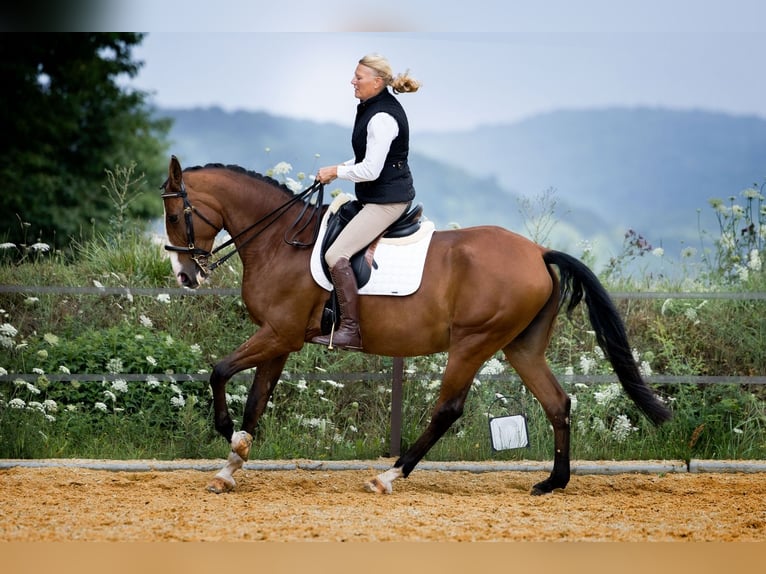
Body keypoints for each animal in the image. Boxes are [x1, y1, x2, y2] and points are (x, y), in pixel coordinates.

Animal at [160, 155, 672, 495]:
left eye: (174, 214)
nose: (185, 276)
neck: (280, 240)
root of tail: (539, 253)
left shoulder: (277, 333)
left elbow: (219, 371)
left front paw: (228, 435)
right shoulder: (281, 339)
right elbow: (257, 398)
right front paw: (232, 464)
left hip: (473, 342)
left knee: (449, 409)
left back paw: (390, 474)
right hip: (521, 347)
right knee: (557, 402)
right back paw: (553, 482)